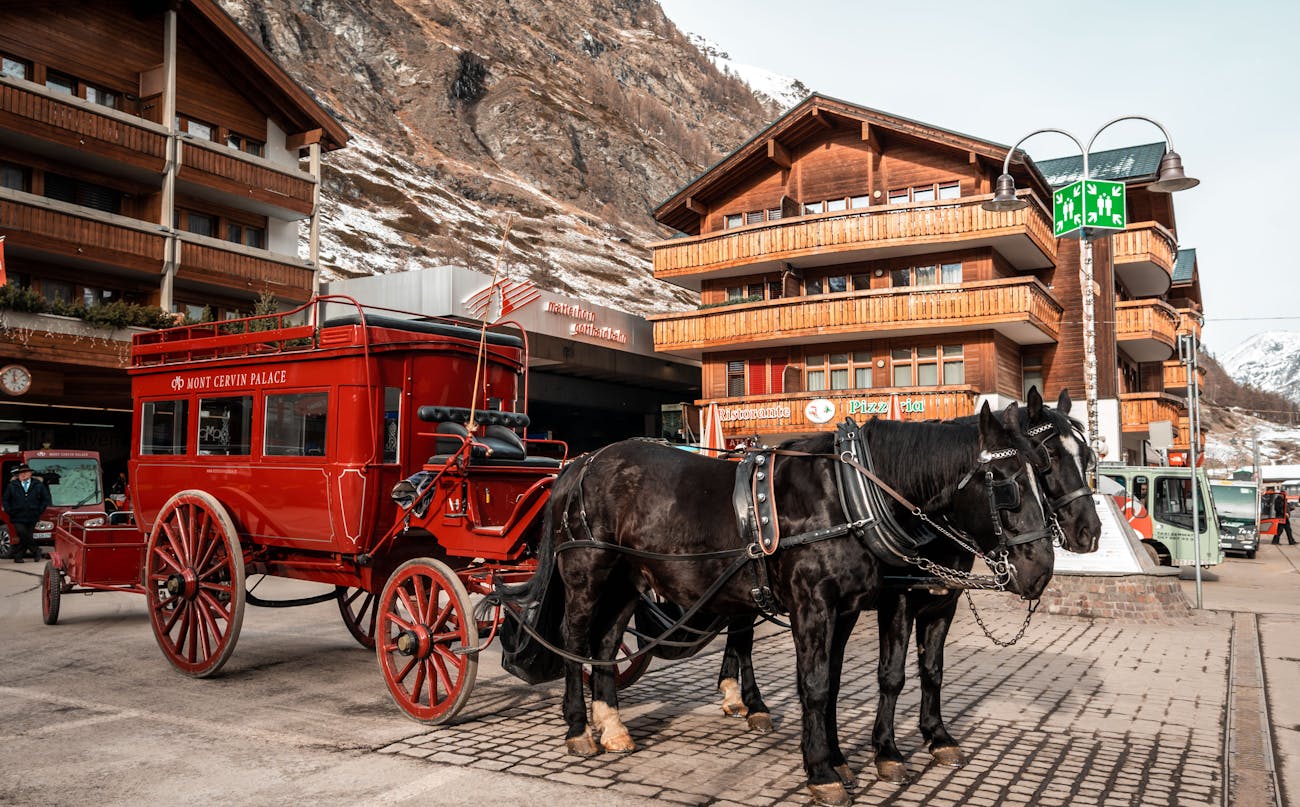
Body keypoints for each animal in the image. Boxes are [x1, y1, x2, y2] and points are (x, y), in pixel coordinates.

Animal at [496, 400, 1055, 800]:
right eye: (1005, 483)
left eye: (1042, 474)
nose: (1042, 569)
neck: (847, 494)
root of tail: (583, 462)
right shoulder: (813, 604)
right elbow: (814, 685)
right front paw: (821, 771)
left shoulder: (846, 609)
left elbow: (831, 684)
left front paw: (838, 760)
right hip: (588, 574)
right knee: (574, 641)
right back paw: (578, 729)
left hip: (629, 582)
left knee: (607, 644)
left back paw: (612, 727)